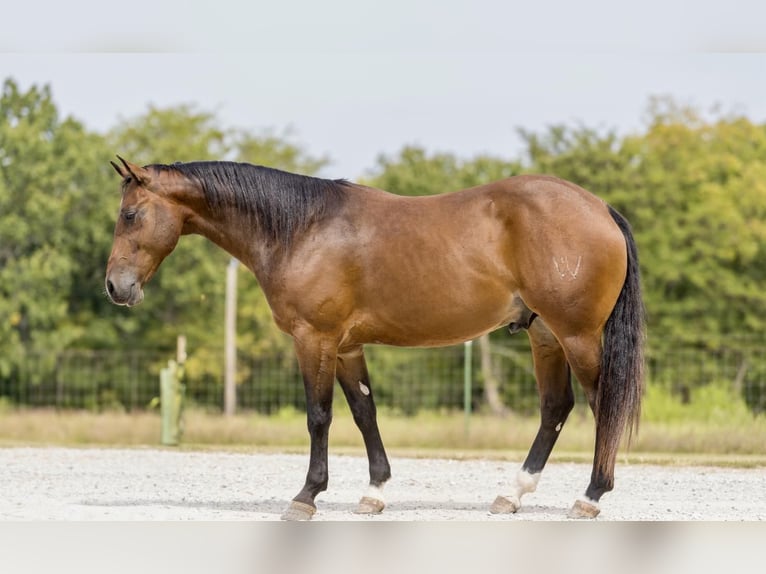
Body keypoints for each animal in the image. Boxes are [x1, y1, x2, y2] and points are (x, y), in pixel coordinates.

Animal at [105, 156, 644, 520]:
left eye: (130, 215)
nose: (116, 287)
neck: (302, 228)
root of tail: (600, 209)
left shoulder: (314, 339)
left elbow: (318, 417)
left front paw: (306, 496)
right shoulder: (346, 346)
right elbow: (365, 413)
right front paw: (374, 493)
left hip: (576, 335)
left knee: (602, 404)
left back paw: (590, 496)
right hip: (545, 336)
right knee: (556, 408)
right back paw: (511, 495)